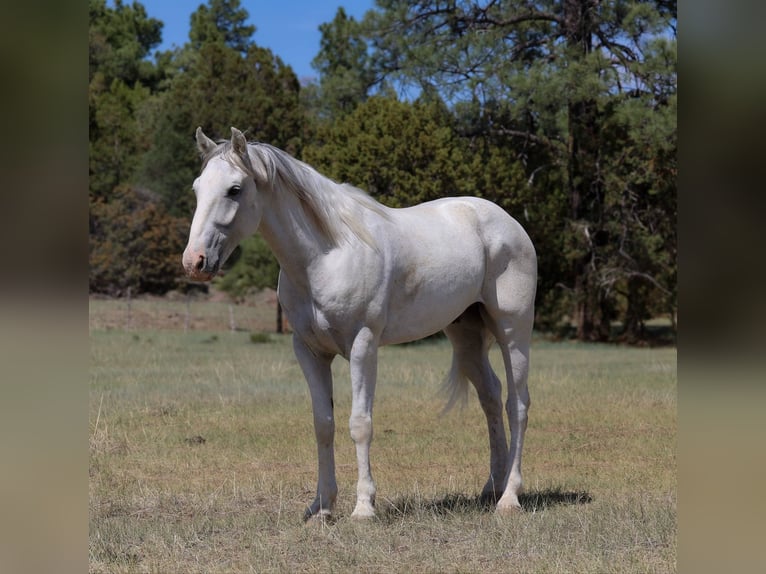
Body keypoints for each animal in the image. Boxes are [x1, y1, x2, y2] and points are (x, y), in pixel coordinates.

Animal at [182, 127, 537, 520]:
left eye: (234, 189)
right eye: (197, 188)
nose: (194, 261)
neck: (326, 255)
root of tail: (508, 223)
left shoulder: (363, 345)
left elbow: (360, 424)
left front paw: (364, 506)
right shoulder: (309, 351)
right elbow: (324, 424)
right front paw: (321, 507)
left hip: (513, 333)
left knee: (517, 405)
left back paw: (510, 498)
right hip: (466, 336)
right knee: (491, 397)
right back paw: (492, 487)